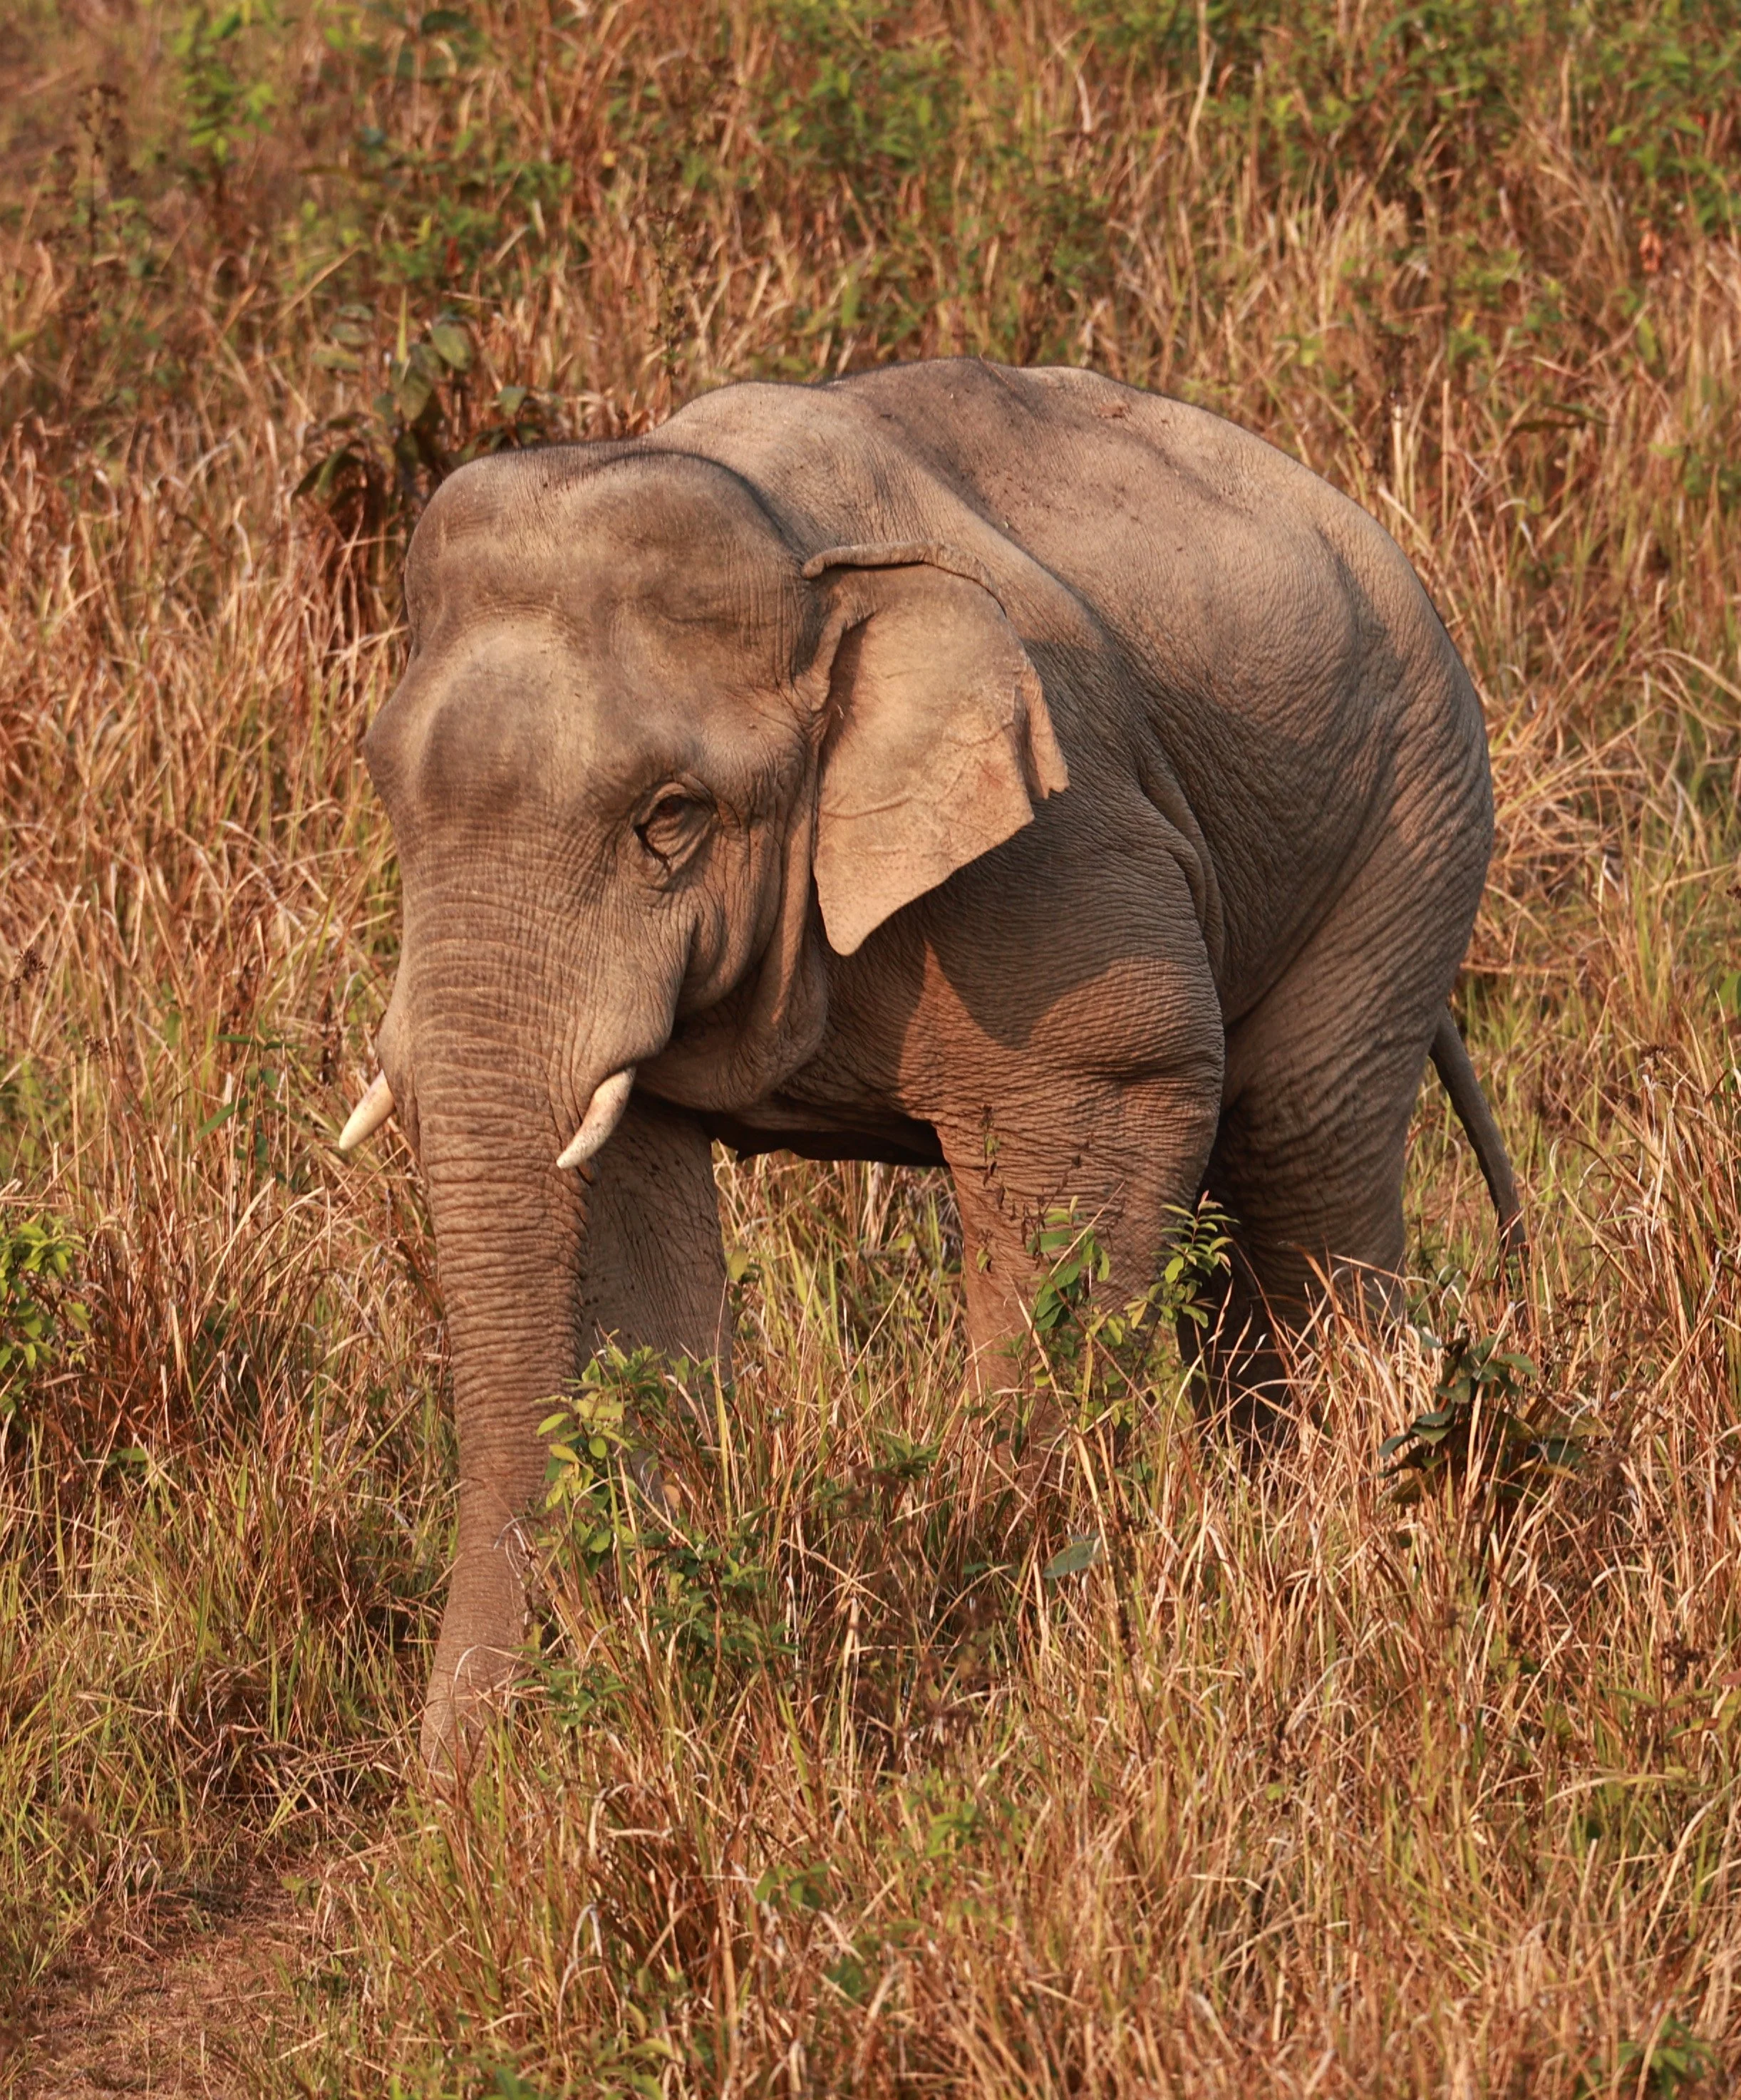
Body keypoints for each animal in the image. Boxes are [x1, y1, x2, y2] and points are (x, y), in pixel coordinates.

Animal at [336, 357, 1523, 1764]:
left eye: (670, 818)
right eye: (385, 788)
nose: (446, 1784)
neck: (797, 560)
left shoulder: (1058, 844)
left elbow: (1111, 1100)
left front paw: (1016, 1620)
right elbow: (624, 1202)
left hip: (1415, 813)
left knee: (1298, 1145)